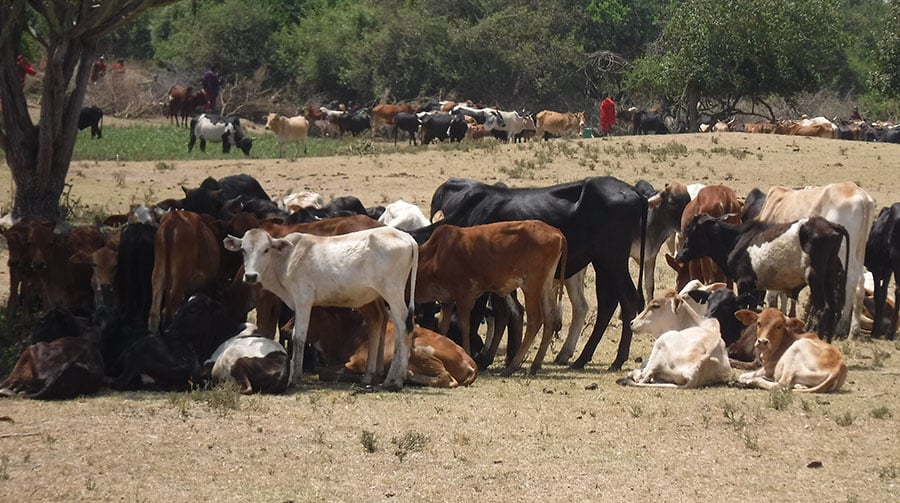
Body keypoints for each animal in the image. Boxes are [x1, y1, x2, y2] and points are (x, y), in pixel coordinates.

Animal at [428, 176, 648, 370]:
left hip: (613, 259)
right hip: (602, 263)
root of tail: (633, 191)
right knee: (607, 304)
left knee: (628, 299)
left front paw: (501, 358)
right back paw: (581, 358)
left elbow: (502, 312)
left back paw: (617, 360)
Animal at [676, 215, 852, 340]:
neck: (736, 240)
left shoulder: (744, 283)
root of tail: (832, 226)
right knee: (833, 309)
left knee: (823, 309)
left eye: (692, 231)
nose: (680, 255)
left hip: (814, 278)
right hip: (829, 278)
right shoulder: (756, 289)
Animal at [860, 204, 900, 338]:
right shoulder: (887, 270)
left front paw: (876, 330)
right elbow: (883, 294)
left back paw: (889, 332)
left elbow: (879, 295)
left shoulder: (878, 268)